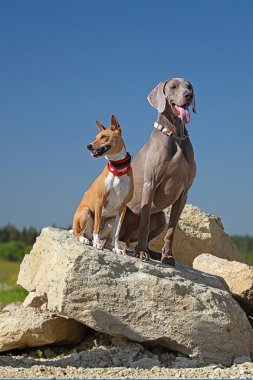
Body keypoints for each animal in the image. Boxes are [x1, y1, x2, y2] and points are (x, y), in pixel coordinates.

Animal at [72, 114, 133, 254]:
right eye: (96, 137)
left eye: (104, 136)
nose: (88, 146)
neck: (118, 170)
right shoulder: (99, 201)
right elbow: (96, 227)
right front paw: (96, 244)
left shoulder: (123, 207)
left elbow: (116, 234)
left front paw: (118, 248)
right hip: (85, 212)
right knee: (79, 233)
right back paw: (86, 240)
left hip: (112, 220)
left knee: (107, 240)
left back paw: (111, 247)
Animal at [119, 76, 197, 264]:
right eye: (173, 86)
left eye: (189, 87)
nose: (189, 95)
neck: (175, 136)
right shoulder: (151, 183)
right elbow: (144, 222)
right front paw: (141, 252)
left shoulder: (184, 193)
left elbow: (172, 229)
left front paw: (167, 256)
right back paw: (125, 246)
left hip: (161, 216)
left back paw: (150, 251)